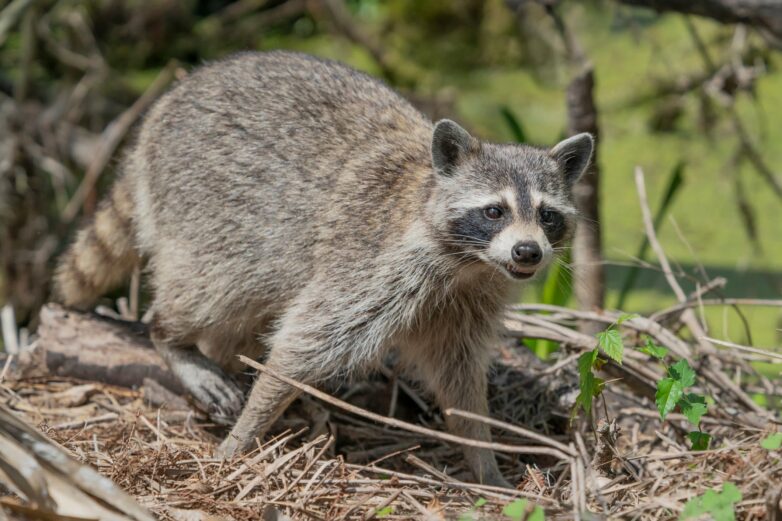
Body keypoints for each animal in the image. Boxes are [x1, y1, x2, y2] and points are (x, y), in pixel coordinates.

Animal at [54, 51, 593, 487]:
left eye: (547, 215)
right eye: (494, 211)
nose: (528, 253)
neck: (469, 264)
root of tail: (162, 110)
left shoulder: (467, 302)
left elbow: (459, 378)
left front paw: (482, 455)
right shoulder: (369, 264)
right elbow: (303, 345)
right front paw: (249, 429)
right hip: (204, 204)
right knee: (211, 287)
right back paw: (171, 337)